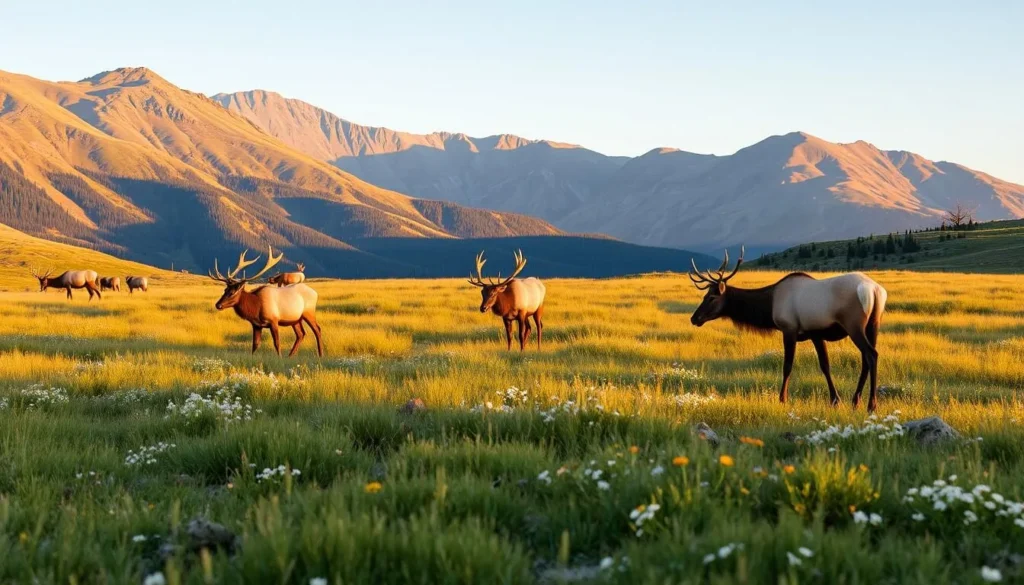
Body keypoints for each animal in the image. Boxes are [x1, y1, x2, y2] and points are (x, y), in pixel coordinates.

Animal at [687, 247, 887, 412]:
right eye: (705, 295)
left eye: (712, 297)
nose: (694, 318)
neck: (769, 307)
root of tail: (874, 289)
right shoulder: (816, 333)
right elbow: (825, 365)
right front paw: (835, 400)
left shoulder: (789, 329)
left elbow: (787, 366)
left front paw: (782, 398)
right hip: (873, 324)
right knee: (866, 359)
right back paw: (856, 400)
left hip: (854, 324)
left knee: (871, 354)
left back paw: (871, 404)